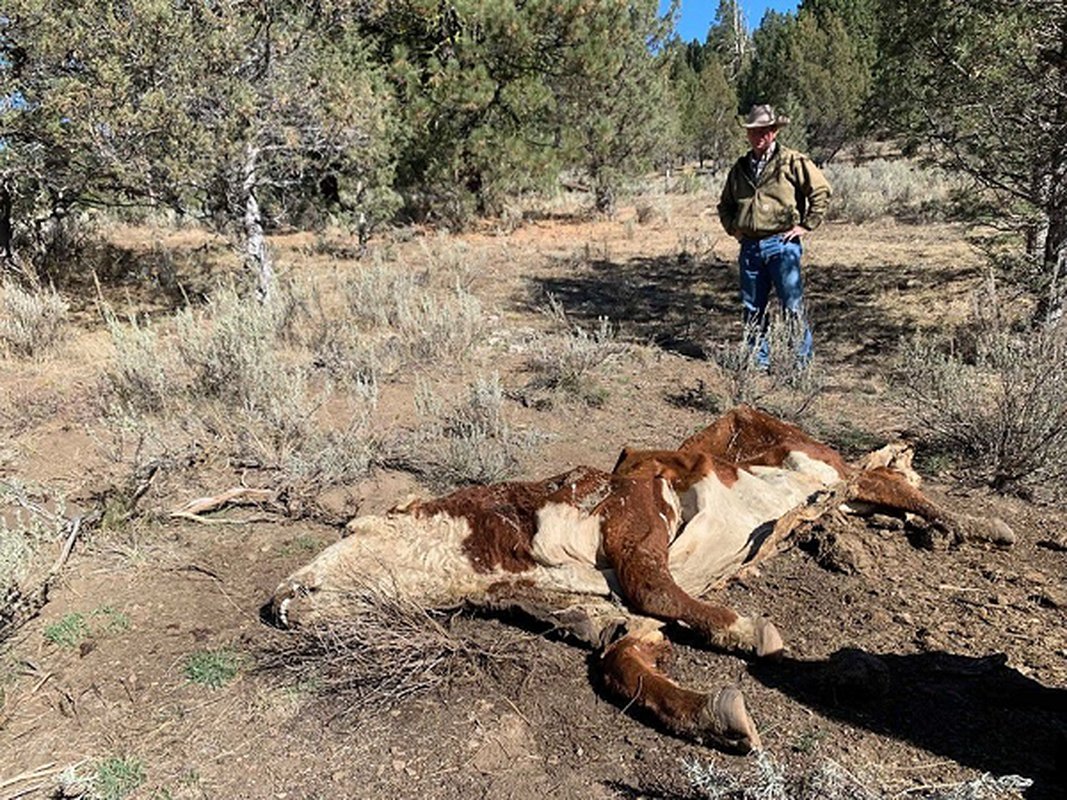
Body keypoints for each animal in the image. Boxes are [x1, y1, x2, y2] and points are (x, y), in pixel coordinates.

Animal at [268, 409, 1015, 755]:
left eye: (349, 529)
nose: (275, 602)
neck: (508, 542)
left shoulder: (637, 500)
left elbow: (652, 586)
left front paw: (747, 631)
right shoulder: (609, 617)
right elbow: (622, 657)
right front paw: (716, 717)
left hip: (810, 455)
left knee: (878, 476)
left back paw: (975, 526)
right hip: (831, 488)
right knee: (871, 487)